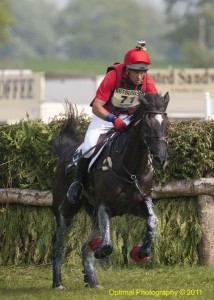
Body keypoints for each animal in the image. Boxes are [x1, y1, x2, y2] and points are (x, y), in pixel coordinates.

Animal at [51, 92, 169, 288]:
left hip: (92, 213)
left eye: (167, 124)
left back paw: (92, 280)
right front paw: (100, 251)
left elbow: (152, 221)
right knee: (59, 242)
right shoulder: (104, 206)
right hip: (66, 209)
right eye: (147, 126)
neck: (131, 169)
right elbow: (106, 245)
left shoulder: (139, 204)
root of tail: (66, 153)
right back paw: (58, 282)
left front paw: (141, 252)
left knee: (84, 246)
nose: (161, 159)